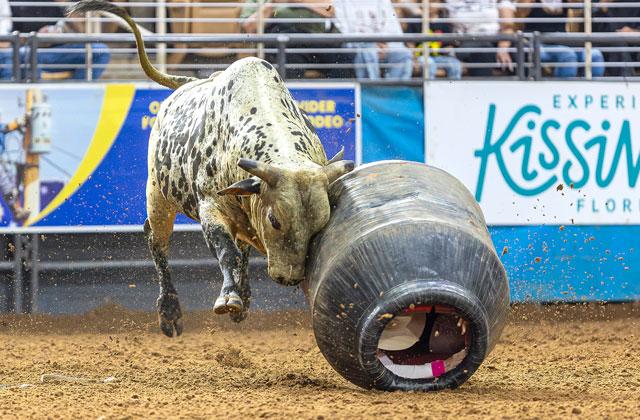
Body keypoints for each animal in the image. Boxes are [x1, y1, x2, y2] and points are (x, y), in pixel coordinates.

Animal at [68, 1, 354, 337]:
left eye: (321, 224)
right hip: (158, 194)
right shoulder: (211, 205)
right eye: (275, 219)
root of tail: (189, 82)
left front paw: (240, 296)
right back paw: (170, 312)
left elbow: (240, 252)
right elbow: (227, 252)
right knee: (156, 241)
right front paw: (228, 298)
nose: (289, 278)